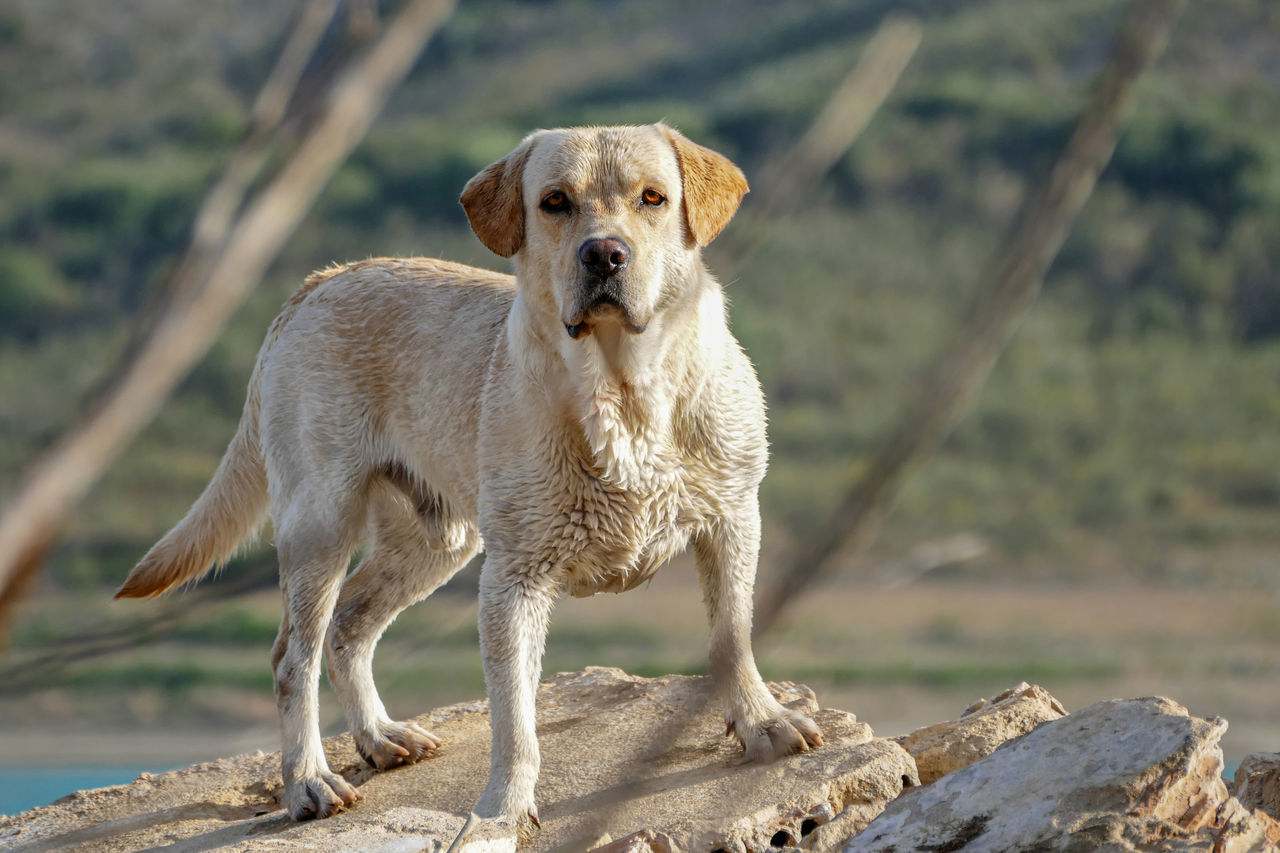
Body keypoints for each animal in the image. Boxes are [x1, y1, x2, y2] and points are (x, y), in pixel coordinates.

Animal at [117, 122, 819, 824]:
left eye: (653, 198)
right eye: (555, 202)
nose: (604, 255)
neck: (624, 391)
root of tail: (322, 280)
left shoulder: (733, 518)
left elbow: (731, 636)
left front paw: (762, 723)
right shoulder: (514, 578)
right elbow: (514, 718)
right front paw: (502, 810)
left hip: (437, 539)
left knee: (349, 625)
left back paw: (378, 736)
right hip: (322, 524)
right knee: (294, 656)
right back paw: (309, 780)